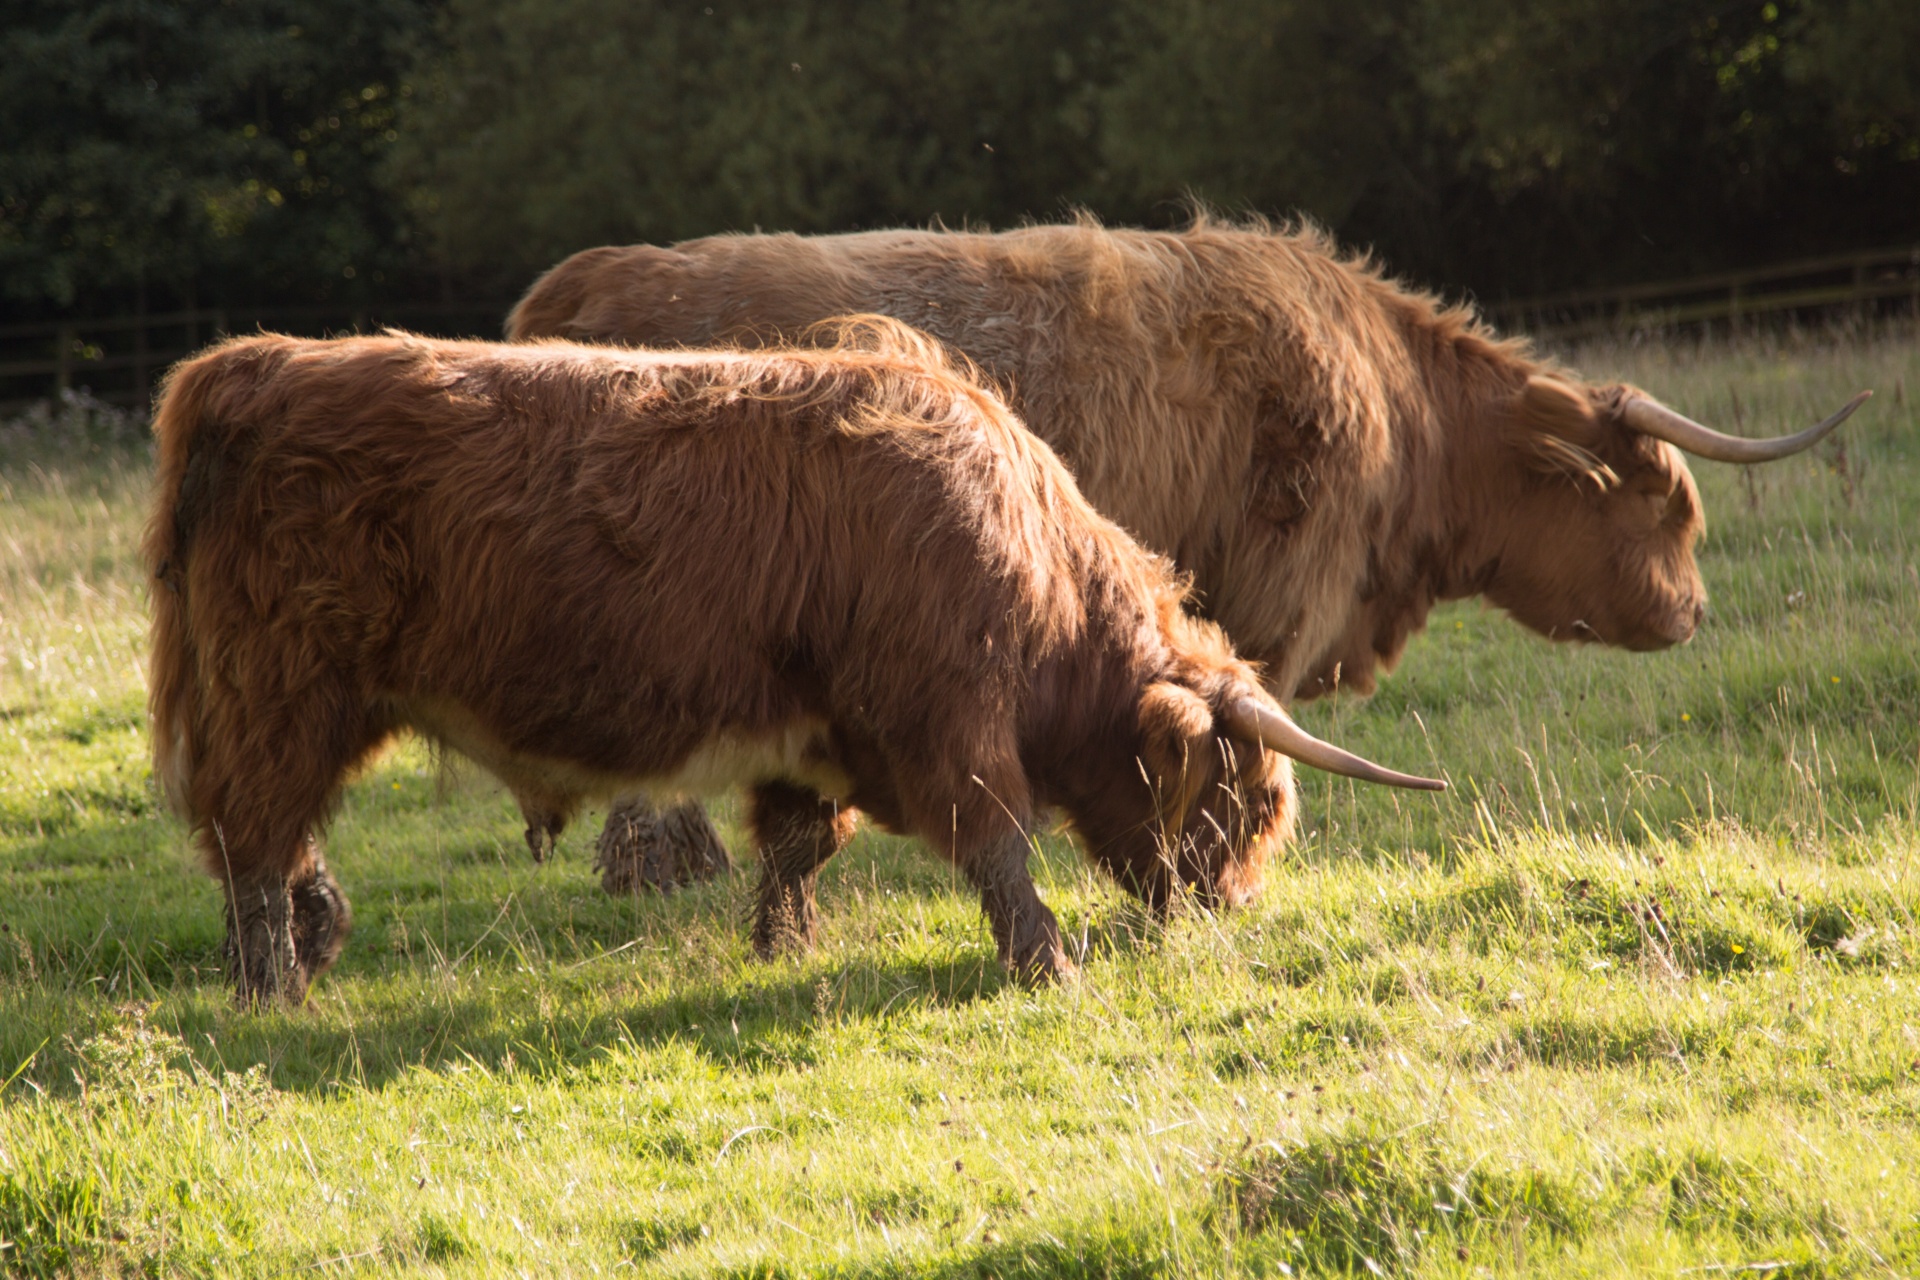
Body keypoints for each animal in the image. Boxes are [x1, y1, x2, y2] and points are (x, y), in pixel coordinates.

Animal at [145, 326, 1443, 1005]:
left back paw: (308, 939)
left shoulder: (816, 732)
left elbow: (795, 845)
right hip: (280, 685)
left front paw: (784, 946)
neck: (1038, 577)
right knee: (255, 834)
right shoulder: (949, 719)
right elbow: (998, 841)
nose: (1230, 906)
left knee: (266, 833)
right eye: (1247, 797)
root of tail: (254, 364)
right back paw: (276, 983)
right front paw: (1046, 958)